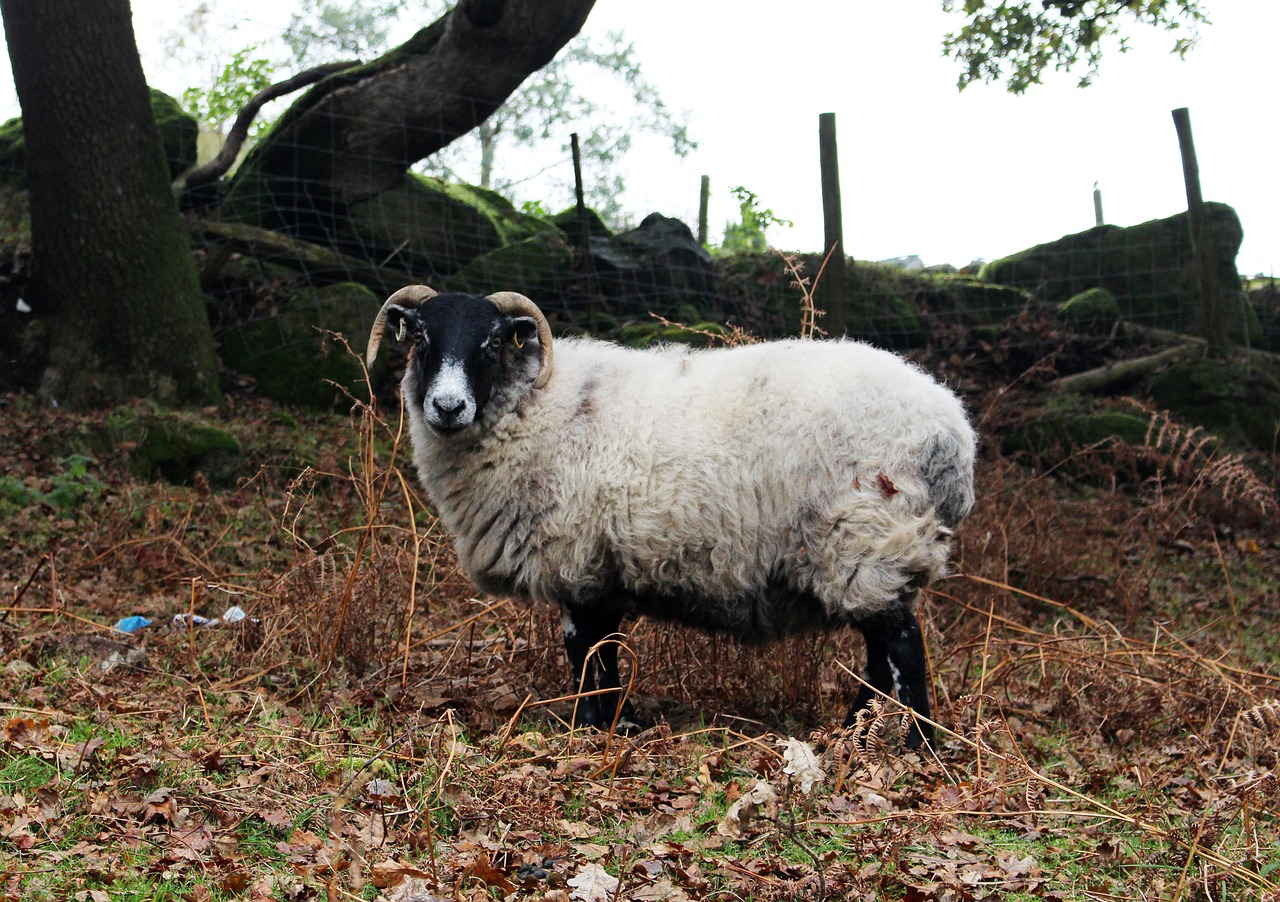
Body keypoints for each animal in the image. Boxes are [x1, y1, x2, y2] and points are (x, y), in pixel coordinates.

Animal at [366, 282, 972, 747]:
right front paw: (620, 723)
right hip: (868, 552)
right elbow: (607, 653)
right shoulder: (603, 567)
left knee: (902, 646)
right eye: (420, 337)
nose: (447, 407)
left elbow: (584, 653)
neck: (535, 405)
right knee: (877, 654)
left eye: (492, 342)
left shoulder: (574, 557)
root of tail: (953, 432)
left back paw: (916, 748)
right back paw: (850, 734)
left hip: (867, 539)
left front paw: (588, 729)